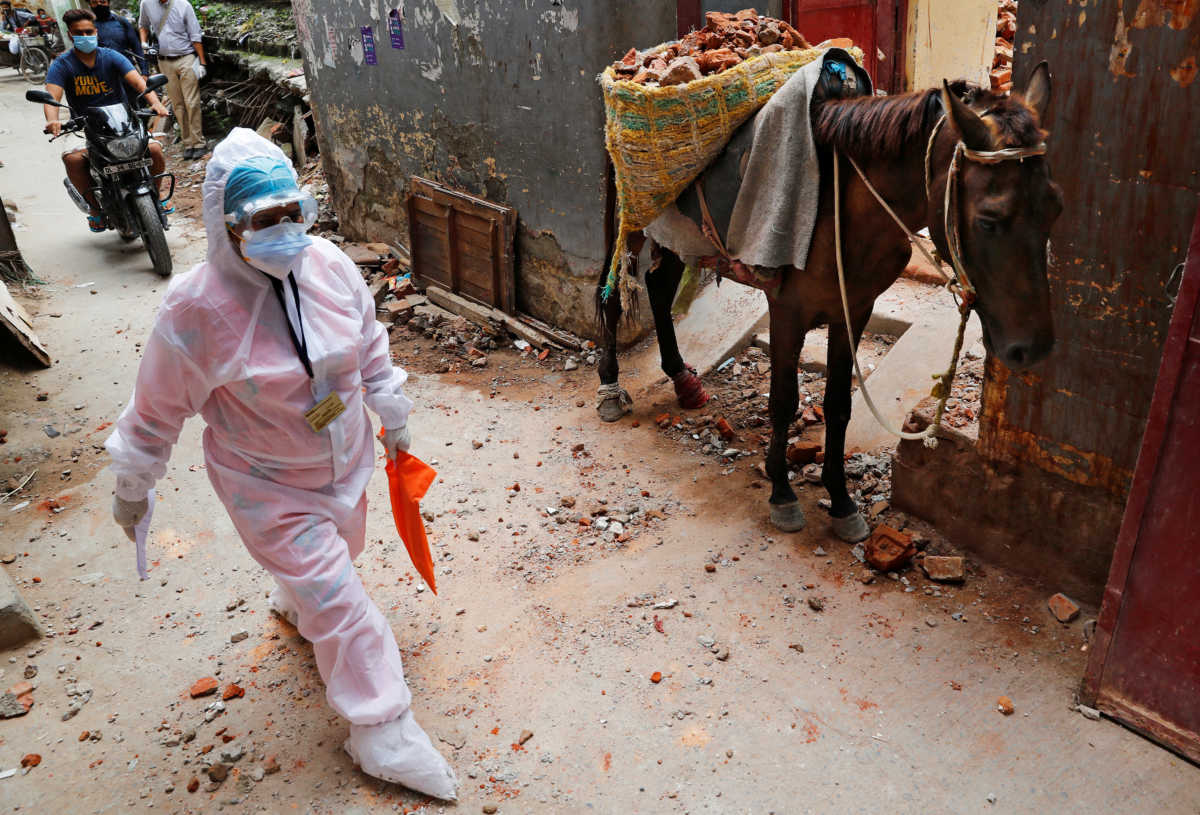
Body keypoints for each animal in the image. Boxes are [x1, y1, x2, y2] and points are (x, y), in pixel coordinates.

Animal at [590, 65, 1060, 542]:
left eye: (1055, 208)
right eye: (988, 220)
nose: (1034, 348)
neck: (843, 204)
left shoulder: (854, 308)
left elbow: (838, 405)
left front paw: (841, 500)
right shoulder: (787, 311)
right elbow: (783, 400)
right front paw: (782, 493)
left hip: (675, 232)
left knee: (658, 287)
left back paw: (682, 379)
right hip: (632, 219)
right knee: (610, 298)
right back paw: (609, 386)